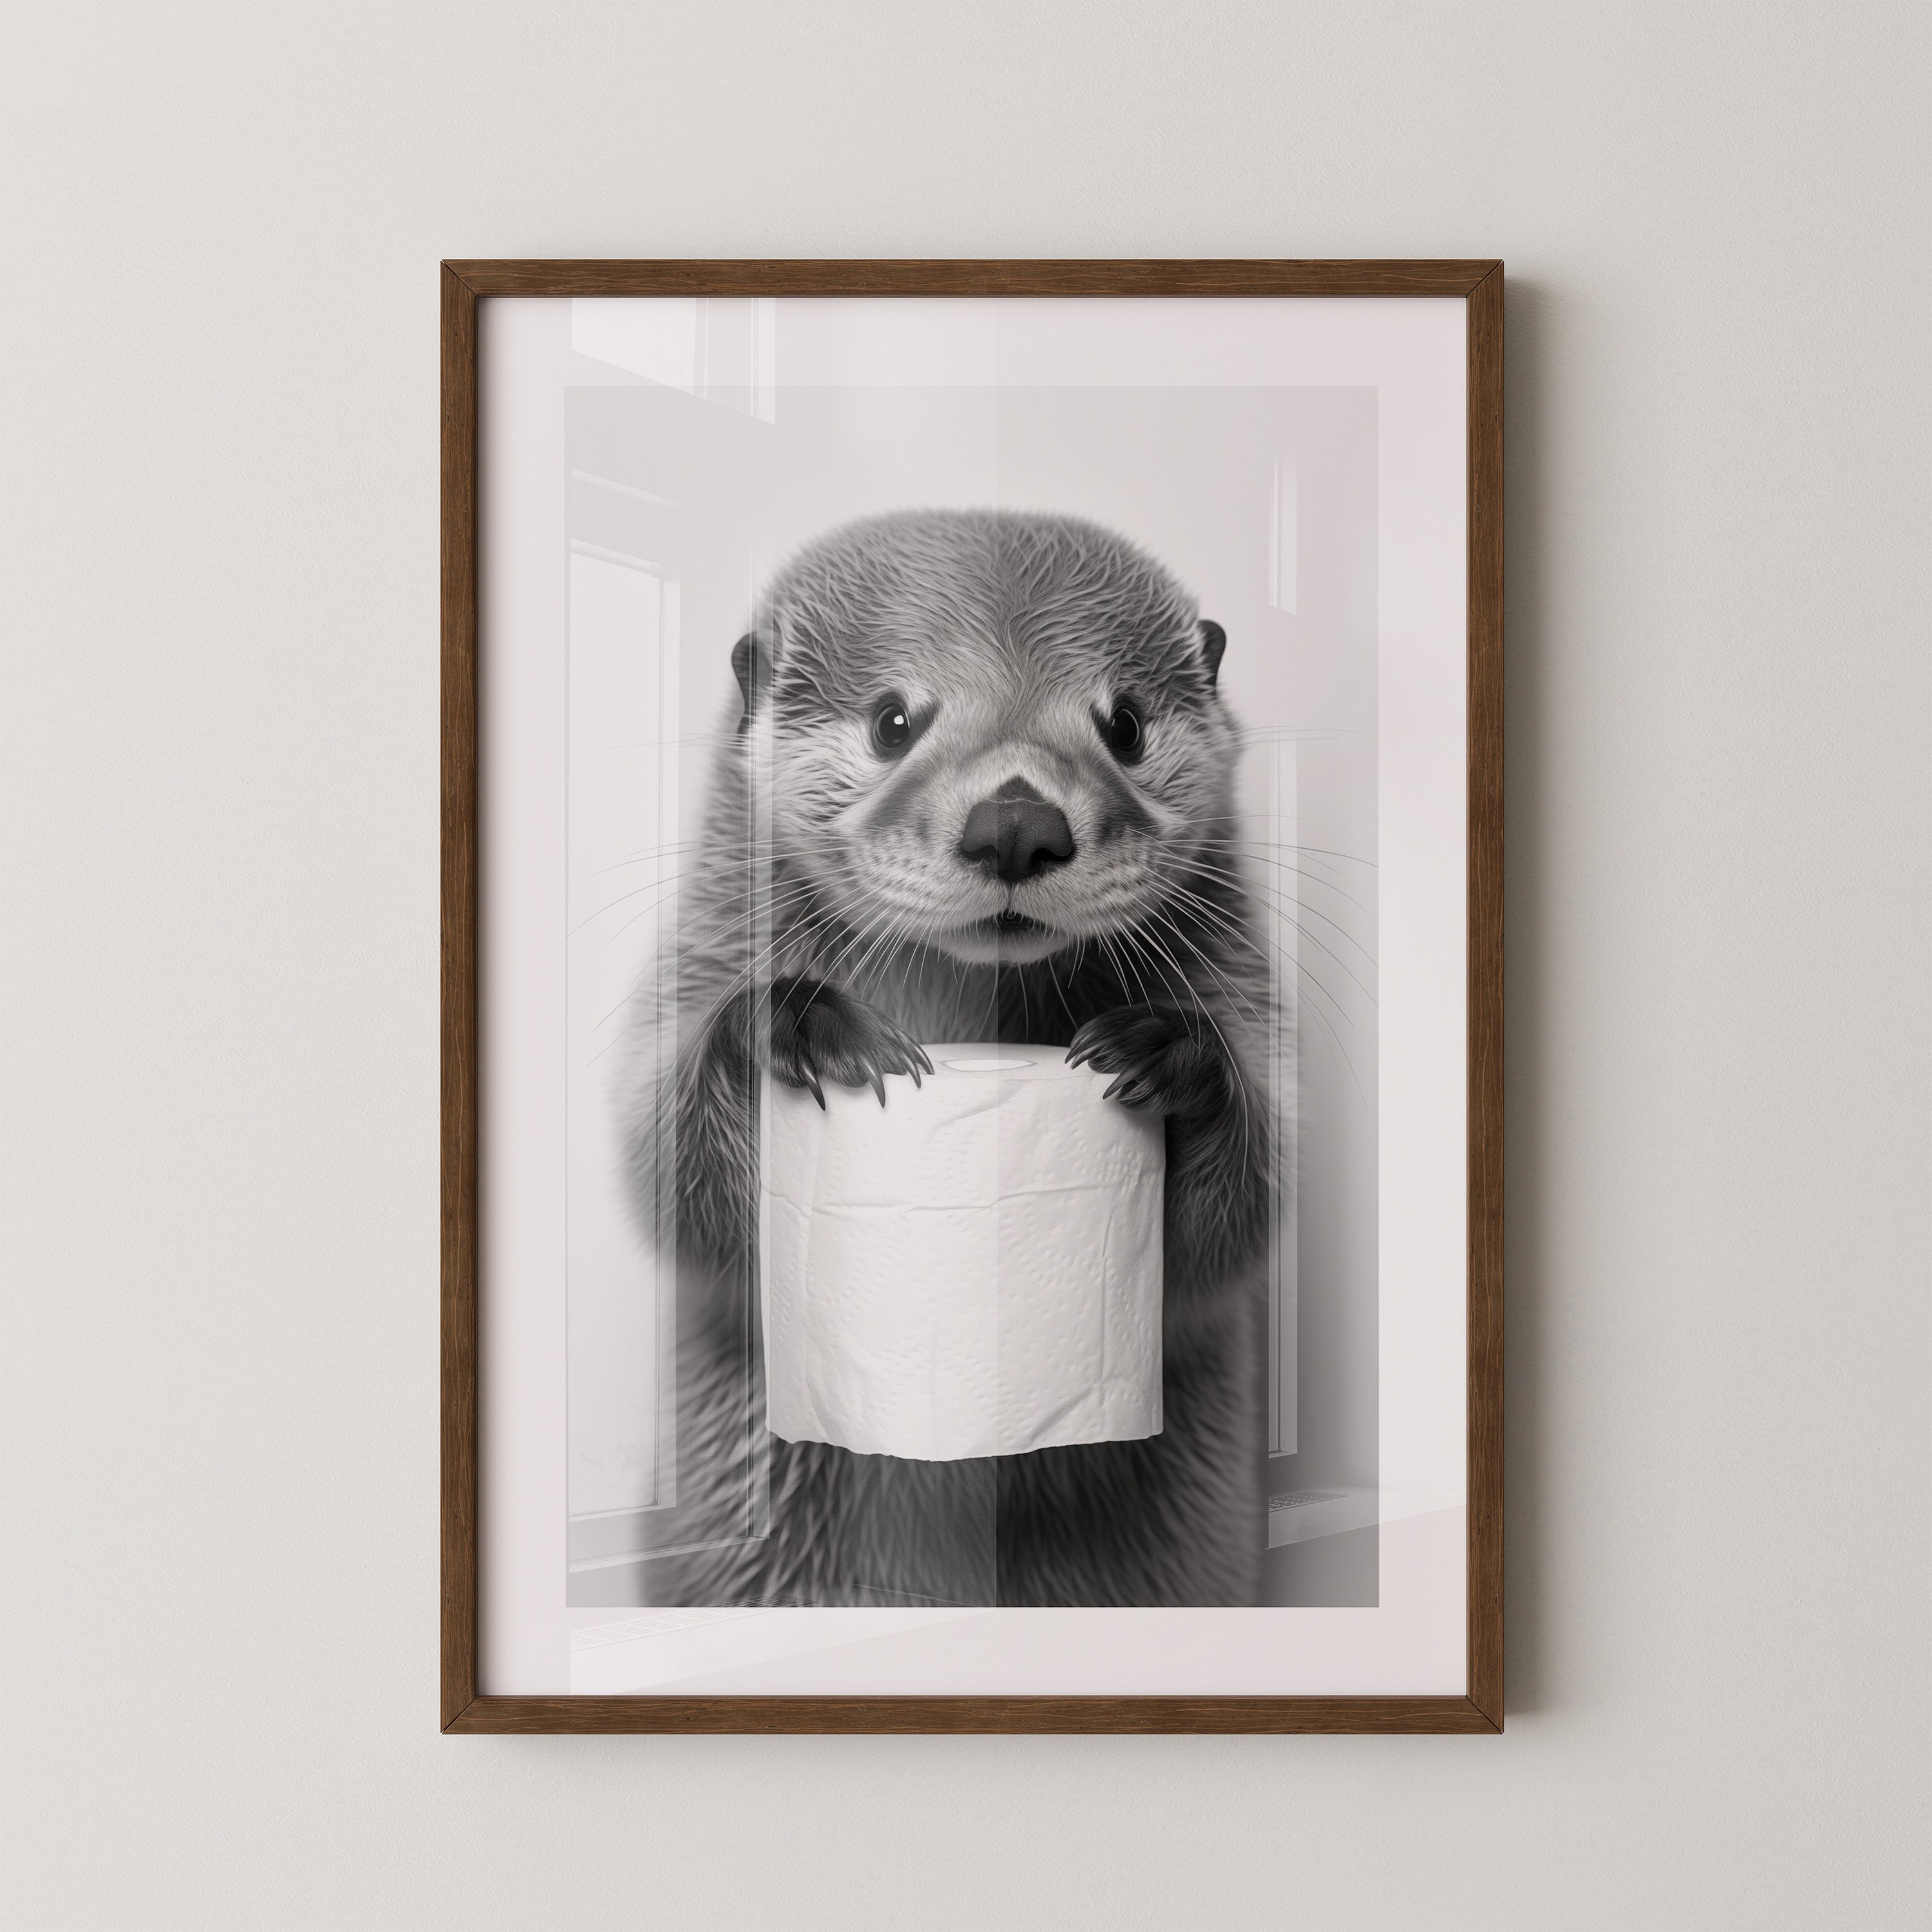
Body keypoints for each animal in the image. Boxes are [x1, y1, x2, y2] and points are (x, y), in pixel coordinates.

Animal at [621, 508, 1278, 1607]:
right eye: (893, 720)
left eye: (1126, 725)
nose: (1016, 822)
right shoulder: (706, 948)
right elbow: (673, 1190)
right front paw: (797, 1027)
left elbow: (1238, 1233)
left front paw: (1171, 1050)